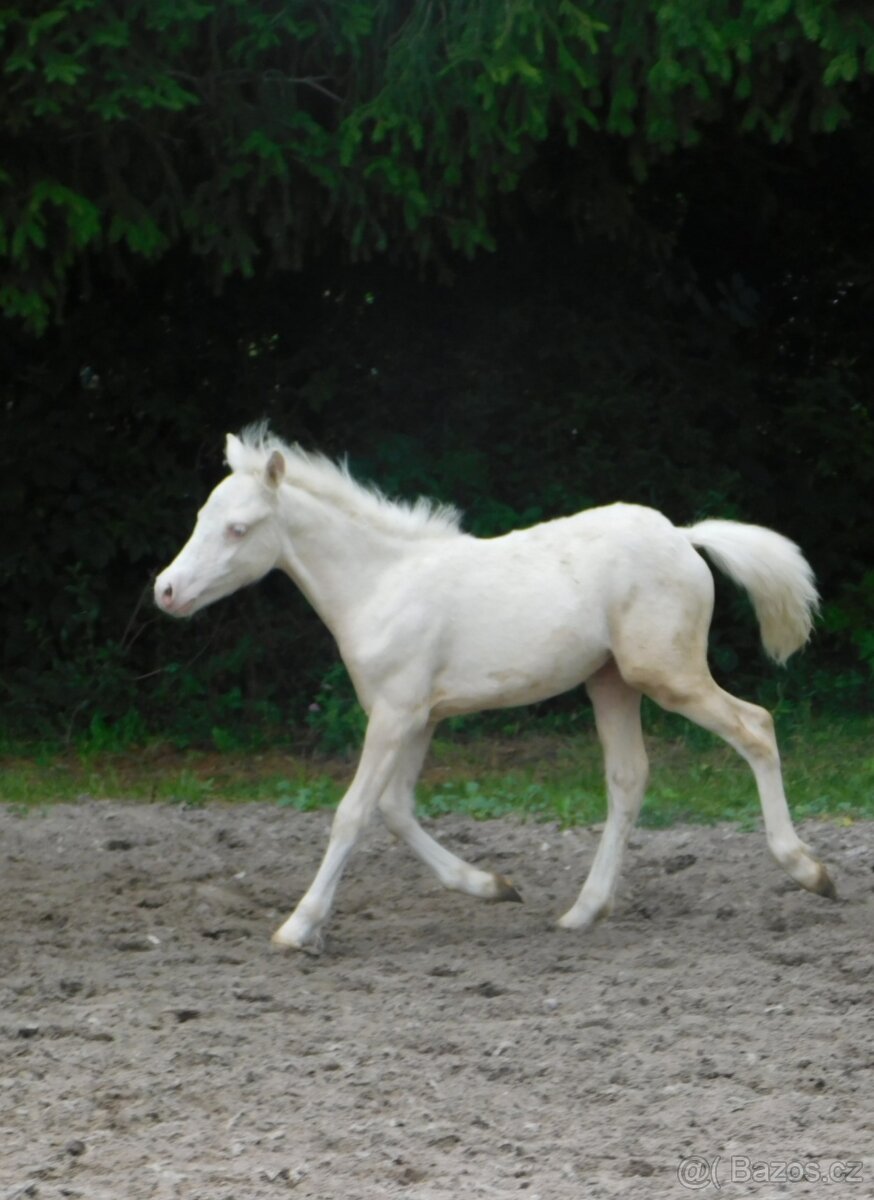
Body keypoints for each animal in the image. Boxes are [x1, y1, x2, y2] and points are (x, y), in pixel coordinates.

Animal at [154, 425, 834, 951]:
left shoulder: (396, 714)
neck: (381, 584)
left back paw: (809, 870)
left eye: (239, 529)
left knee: (755, 727)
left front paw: (297, 928)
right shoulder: (419, 717)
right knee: (628, 779)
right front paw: (494, 886)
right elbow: (396, 810)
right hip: (611, 683)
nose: (166, 591)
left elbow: (353, 813)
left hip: (666, 675)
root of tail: (683, 536)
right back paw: (583, 911)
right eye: (201, 519)